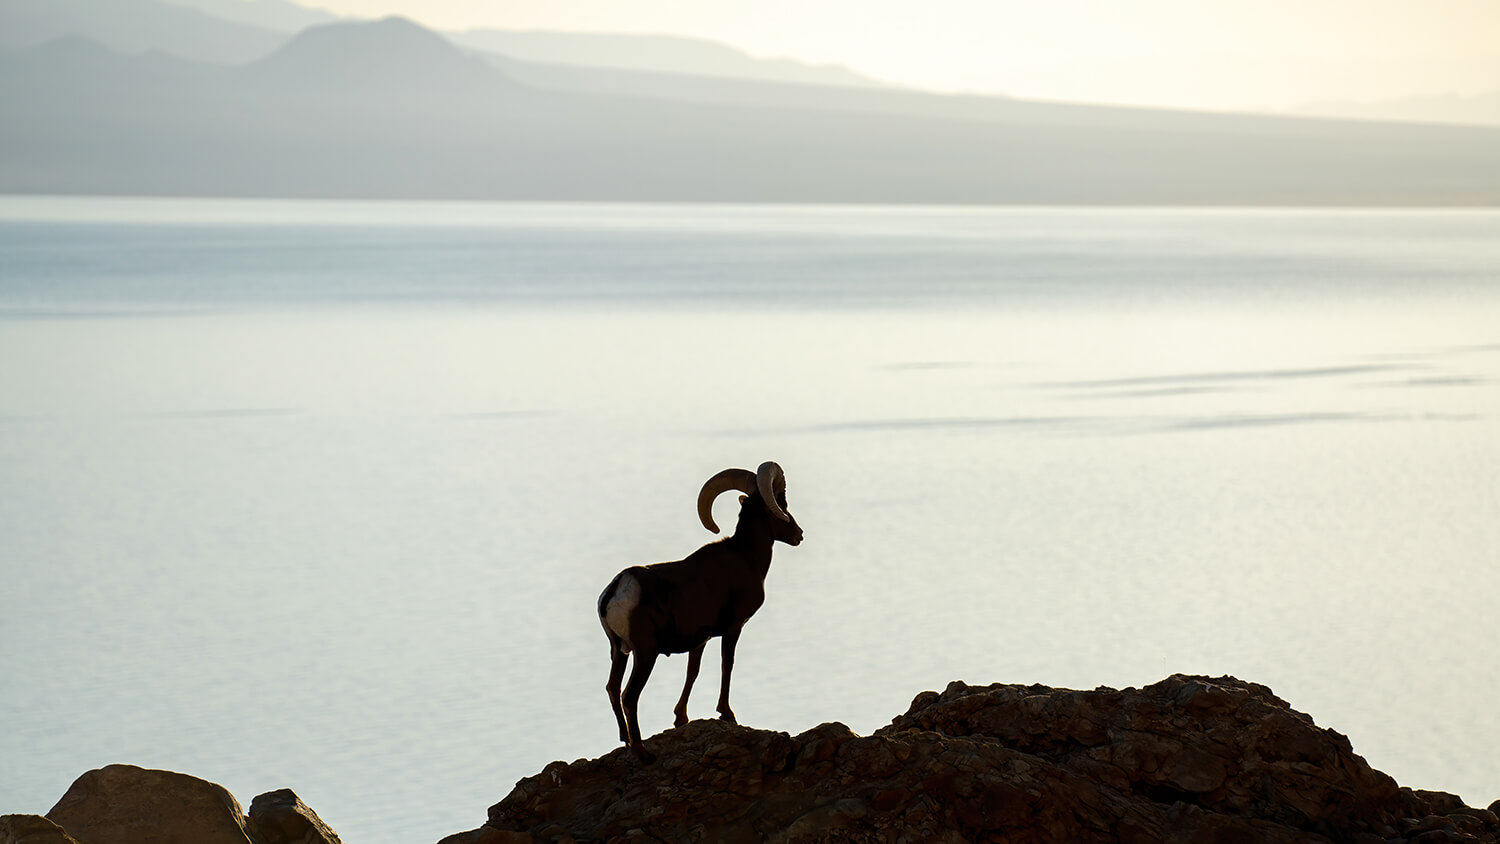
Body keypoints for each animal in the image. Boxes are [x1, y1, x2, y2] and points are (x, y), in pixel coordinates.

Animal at [600, 464, 810, 761]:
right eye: (782, 504)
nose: (798, 535)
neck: (746, 557)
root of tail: (617, 589)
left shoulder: (700, 639)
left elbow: (693, 672)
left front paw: (681, 718)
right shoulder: (733, 627)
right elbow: (727, 664)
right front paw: (727, 713)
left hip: (619, 651)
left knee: (613, 688)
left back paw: (626, 741)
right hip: (645, 653)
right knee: (629, 696)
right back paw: (643, 753)